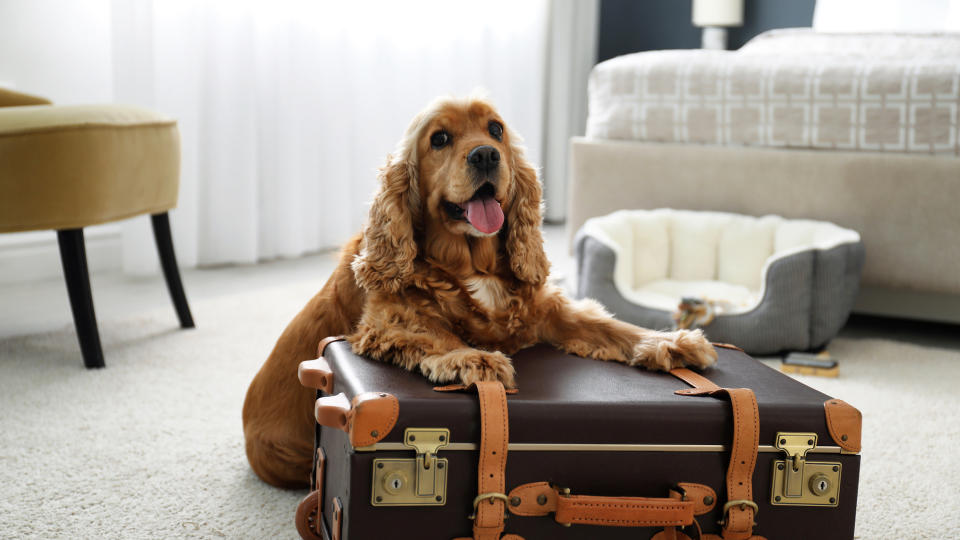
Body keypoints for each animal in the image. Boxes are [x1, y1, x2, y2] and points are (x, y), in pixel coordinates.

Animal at [244, 97, 716, 490]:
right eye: (439, 138)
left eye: (495, 130)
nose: (486, 154)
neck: (473, 264)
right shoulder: (387, 322)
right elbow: (438, 335)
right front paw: (474, 358)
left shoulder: (545, 310)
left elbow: (609, 326)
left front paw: (670, 341)